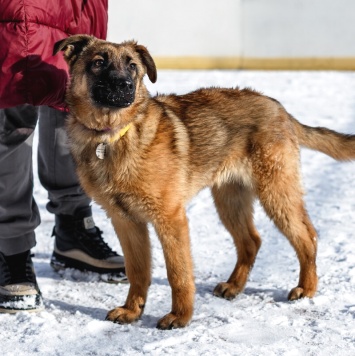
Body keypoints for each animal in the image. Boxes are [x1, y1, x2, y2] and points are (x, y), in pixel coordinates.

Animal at [53, 34, 355, 330]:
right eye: (98, 63)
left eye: (132, 66)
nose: (125, 86)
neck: (110, 136)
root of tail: (279, 109)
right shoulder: (126, 222)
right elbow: (137, 271)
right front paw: (132, 311)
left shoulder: (170, 219)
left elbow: (178, 273)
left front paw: (180, 317)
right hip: (230, 201)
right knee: (251, 241)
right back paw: (234, 286)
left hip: (276, 194)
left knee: (307, 237)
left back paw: (306, 288)